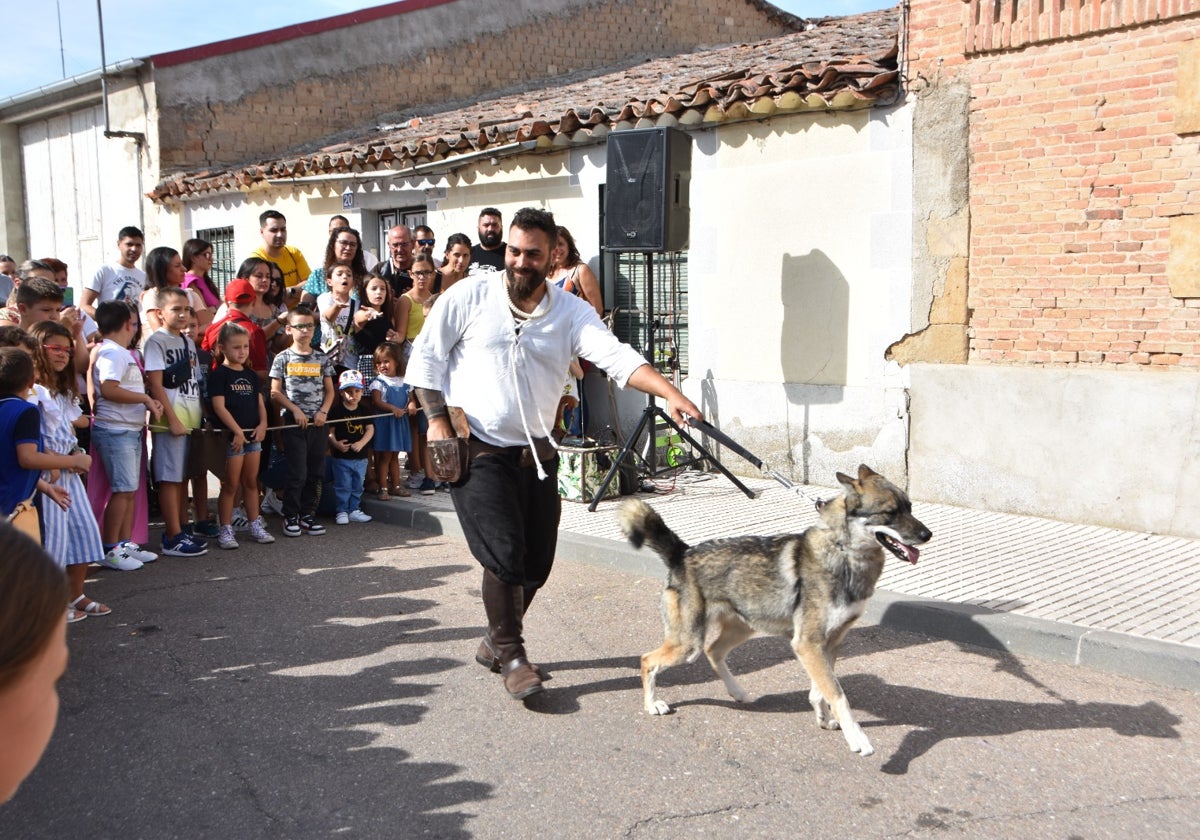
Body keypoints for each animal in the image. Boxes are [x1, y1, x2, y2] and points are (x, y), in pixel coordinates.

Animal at [614, 463, 931, 758]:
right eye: (890, 512)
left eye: (910, 507)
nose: (927, 534)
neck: (843, 551)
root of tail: (682, 552)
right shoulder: (807, 644)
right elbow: (838, 694)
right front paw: (858, 738)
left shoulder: (827, 645)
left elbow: (820, 690)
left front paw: (823, 717)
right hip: (687, 645)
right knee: (647, 660)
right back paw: (652, 704)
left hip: (741, 629)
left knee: (713, 651)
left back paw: (737, 692)